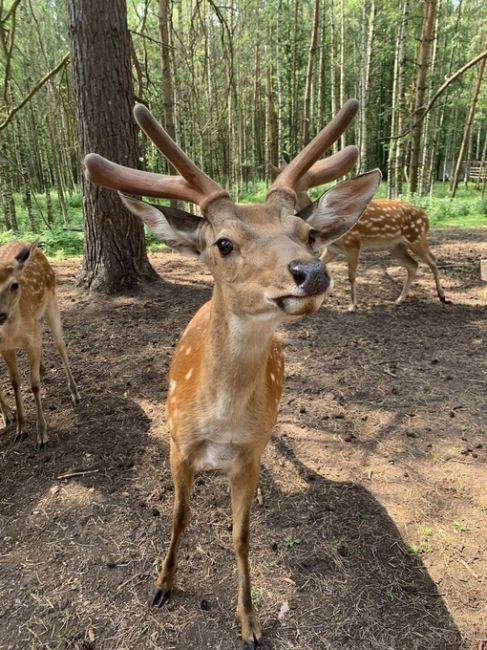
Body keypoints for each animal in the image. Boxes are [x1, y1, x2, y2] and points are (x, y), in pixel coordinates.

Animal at [0, 240, 80, 448]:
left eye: (14, 285)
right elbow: (15, 381)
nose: (0, 315)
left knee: (60, 344)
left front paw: (42, 435)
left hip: (52, 299)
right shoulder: (5, 347)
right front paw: (20, 428)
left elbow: (34, 384)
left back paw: (75, 393)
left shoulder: (32, 339)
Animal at [83, 98, 382, 644]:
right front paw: (162, 585)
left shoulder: (249, 456)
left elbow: (241, 536)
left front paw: (250, 622)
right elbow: (178, 519)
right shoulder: (177, 444)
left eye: (307, 234)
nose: (311, 271)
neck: (219, 426)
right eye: (223, 243)